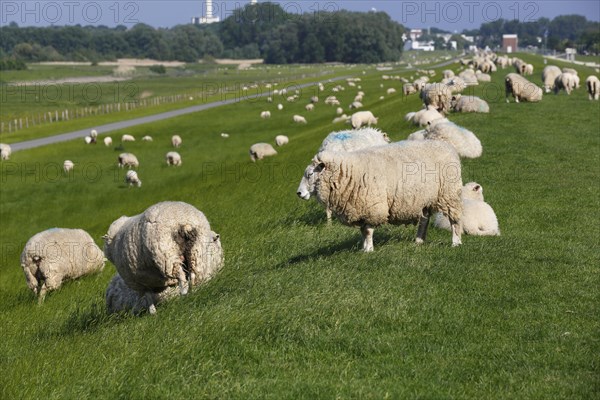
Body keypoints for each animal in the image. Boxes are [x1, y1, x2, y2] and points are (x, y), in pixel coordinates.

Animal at [296, 141, 464, 252]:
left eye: (310, 174)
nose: (298, 193)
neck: (348, 173)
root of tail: (448, 146)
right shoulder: (360, 210)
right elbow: (362, 231)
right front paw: (364, 249)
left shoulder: (372, 207)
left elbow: (368, 231)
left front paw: (369, 250)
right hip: (424, 199)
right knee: (424, 219)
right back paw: (419, 241)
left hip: (449, 193)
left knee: (454, 219)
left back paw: (456, 242)